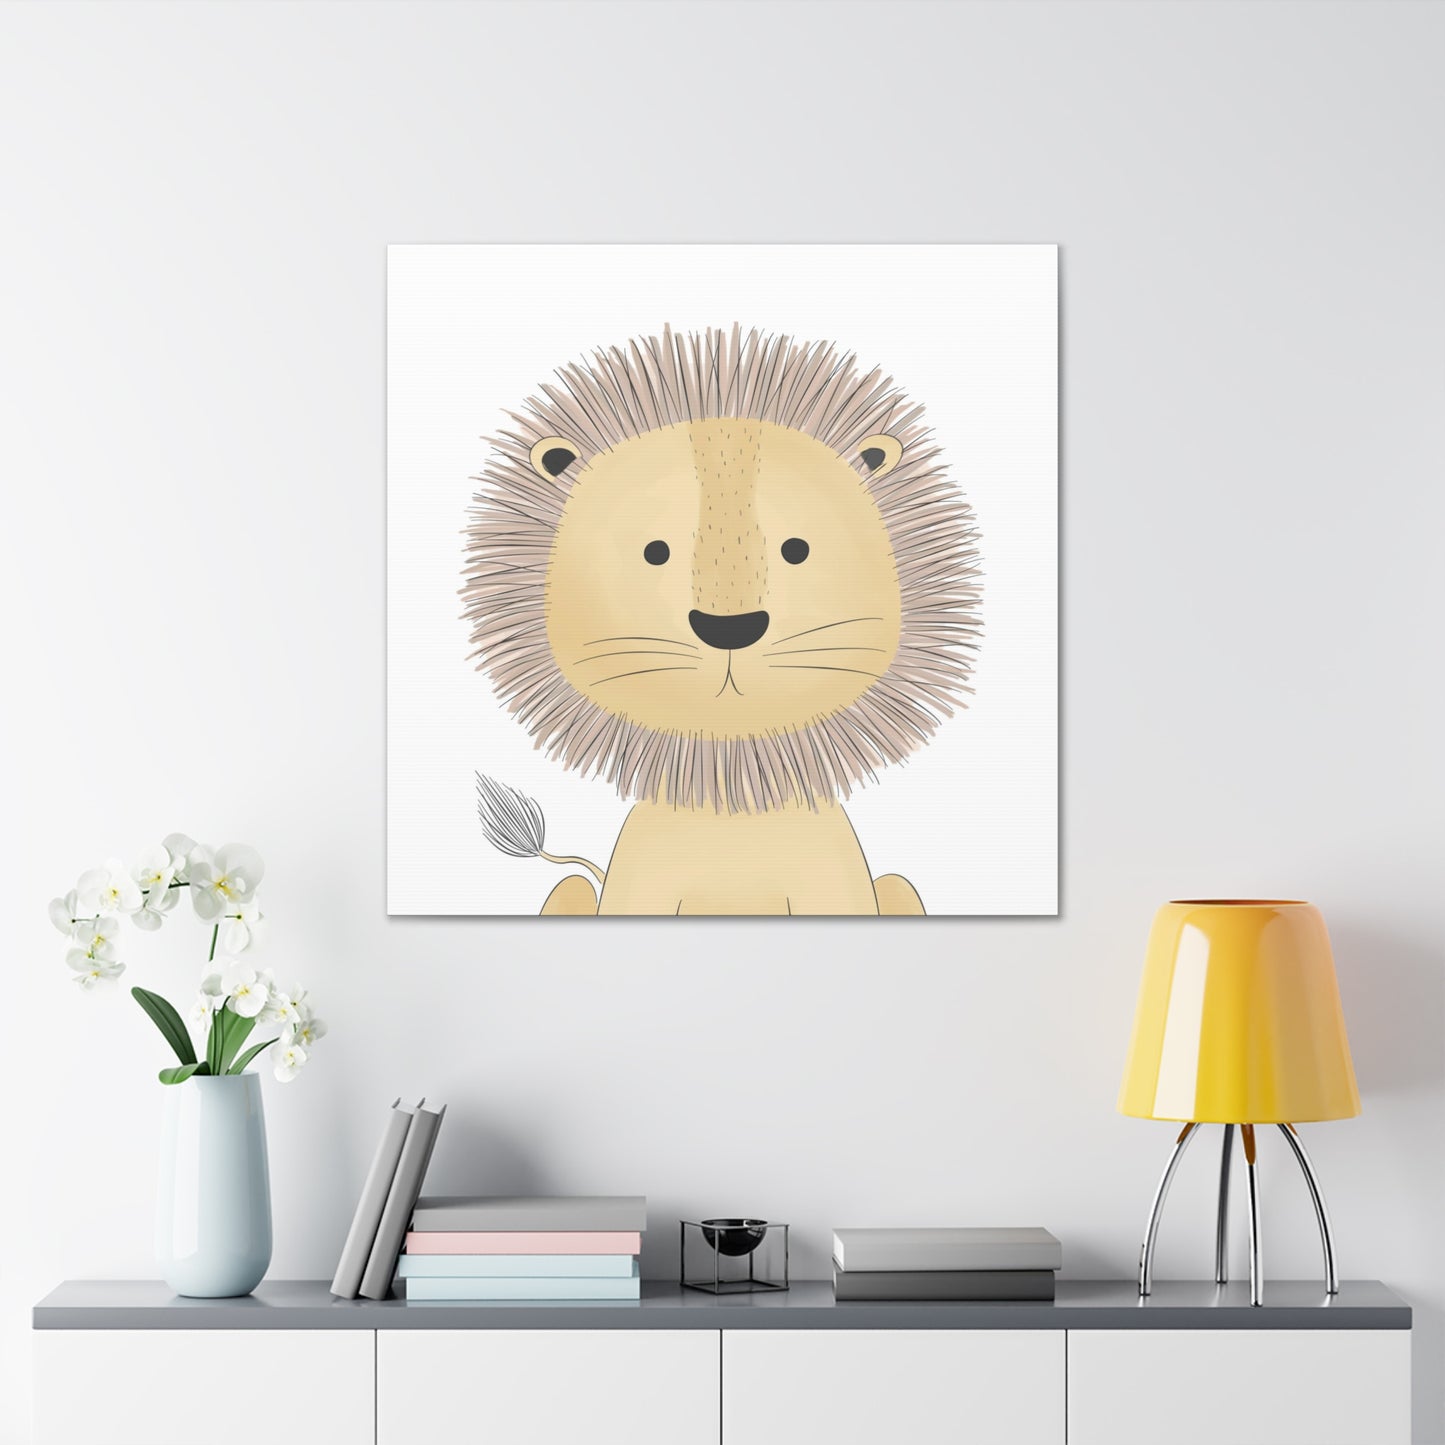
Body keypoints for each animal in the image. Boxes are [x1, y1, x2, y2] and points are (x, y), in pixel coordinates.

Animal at [463, 324, 980, 915]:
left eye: (796, 549)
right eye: (654, 552)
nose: (729, 627)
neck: (731, 799)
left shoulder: (832, 885)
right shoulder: (640, 887)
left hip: (897, 889)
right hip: (569, 891)